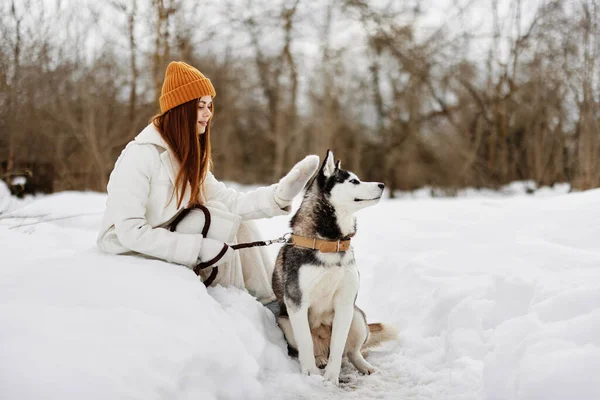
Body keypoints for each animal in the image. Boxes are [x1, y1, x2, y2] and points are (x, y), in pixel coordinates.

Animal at [270, 149, 394, 384]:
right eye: (354, 181)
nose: (383, 184)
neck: (329, 243)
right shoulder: (297, 303)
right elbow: (306, 343)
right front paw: (310, 373)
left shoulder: (345, 303)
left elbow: (338, 347)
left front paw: (331, 378)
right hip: (284, 322)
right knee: (313, 347)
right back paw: (318, 360)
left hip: (357, 317)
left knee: (351, 352)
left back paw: (365, 367)